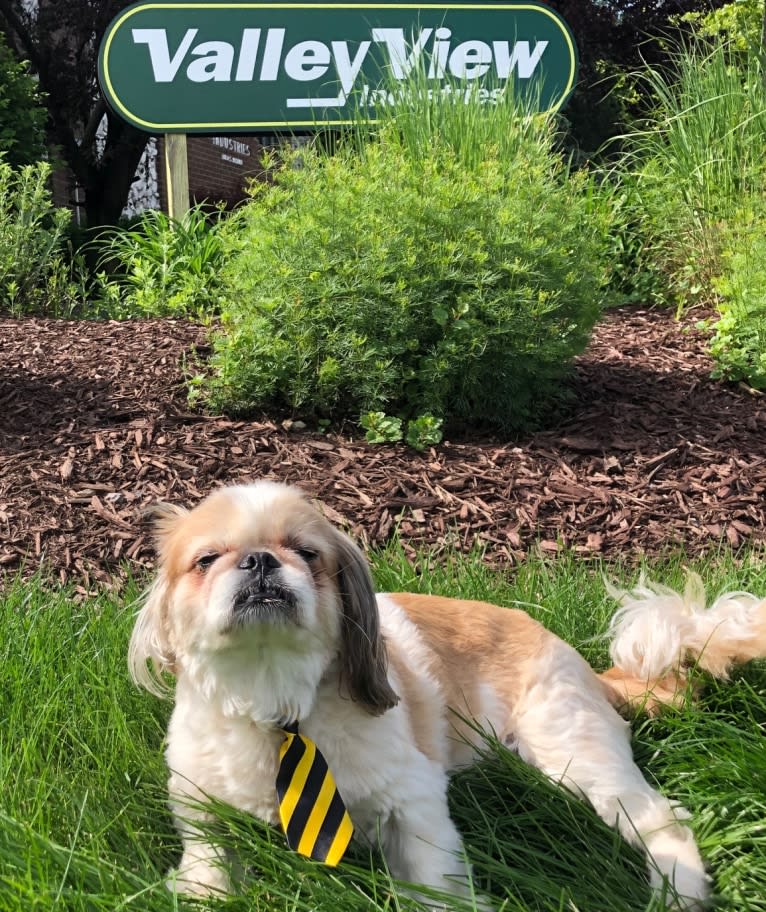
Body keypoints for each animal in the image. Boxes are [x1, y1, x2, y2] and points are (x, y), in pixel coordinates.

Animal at [127, 480, 766, 908]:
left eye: (308, 554)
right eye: (207, 560)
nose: (260, 560)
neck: (277, 703)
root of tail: (581, 663)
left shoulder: (413, 799)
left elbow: (433, 882)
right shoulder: (200, 810)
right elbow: (208, 870)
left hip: (569, 748)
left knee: (660, 820)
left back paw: (677, 893)